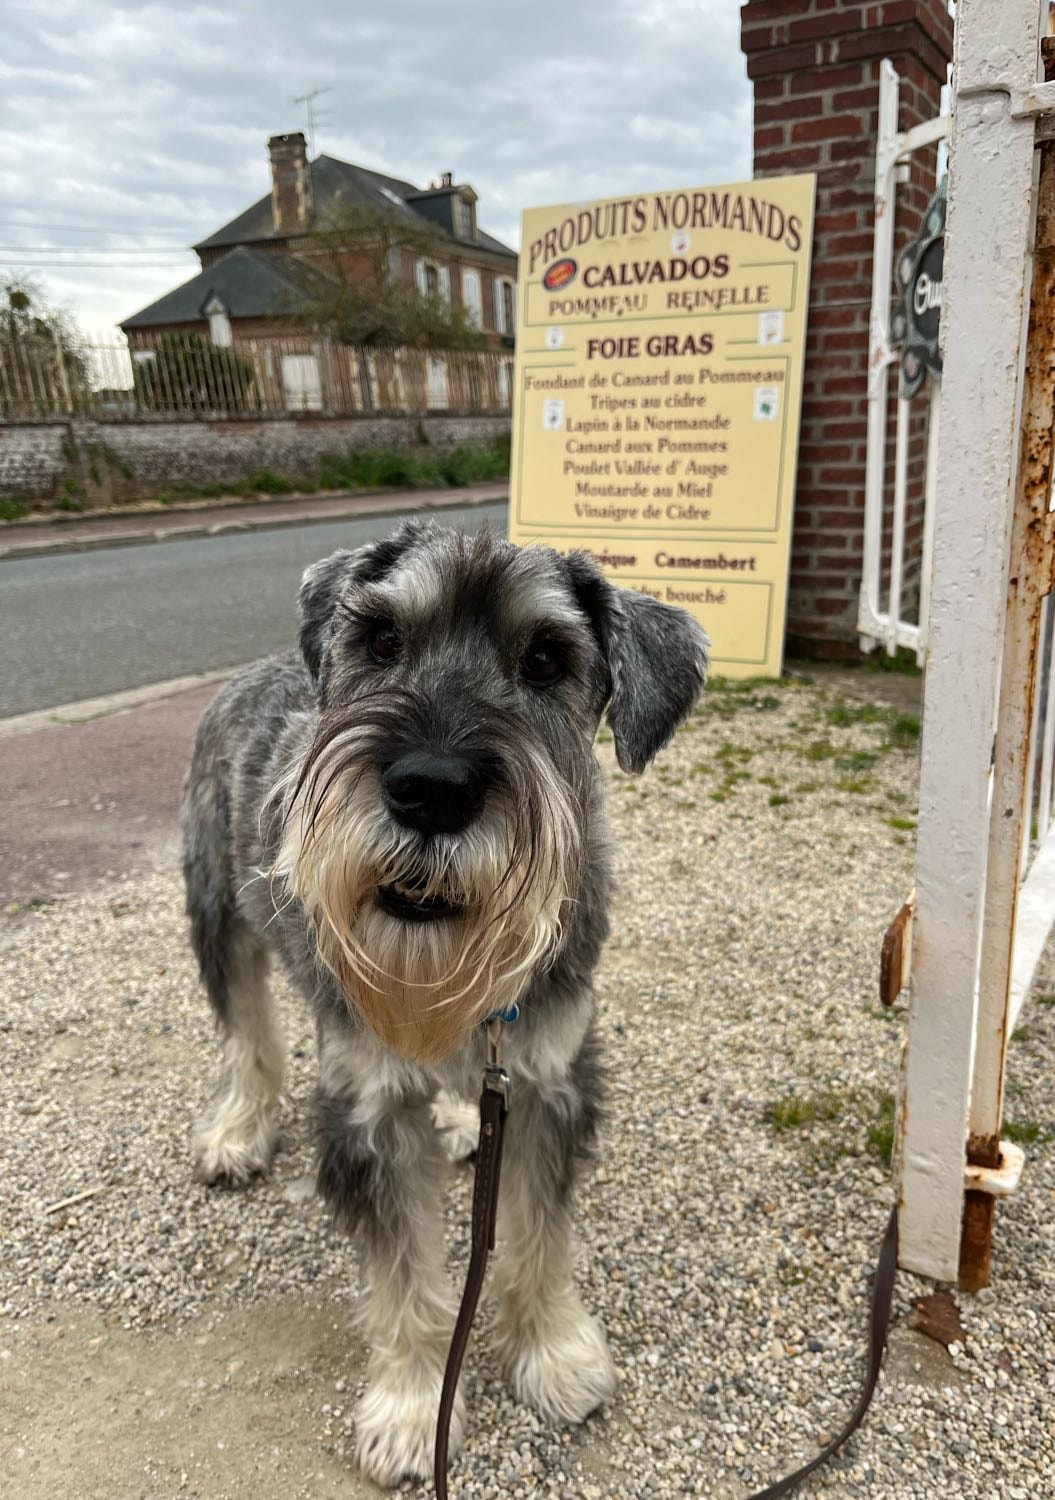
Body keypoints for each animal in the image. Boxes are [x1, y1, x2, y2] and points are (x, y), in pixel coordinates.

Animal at [181, 519, 708, 1485]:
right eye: (381, 639)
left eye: (545, 658)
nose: (429, 789)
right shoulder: (370, 1107)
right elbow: (405, 1278)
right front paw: (413, 1406)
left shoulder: (549, 1081)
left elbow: (537, 1236)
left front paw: (553, 1355)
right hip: (217, 915)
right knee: (246, 1033)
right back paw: (238, 1129)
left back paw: (462, 1121)